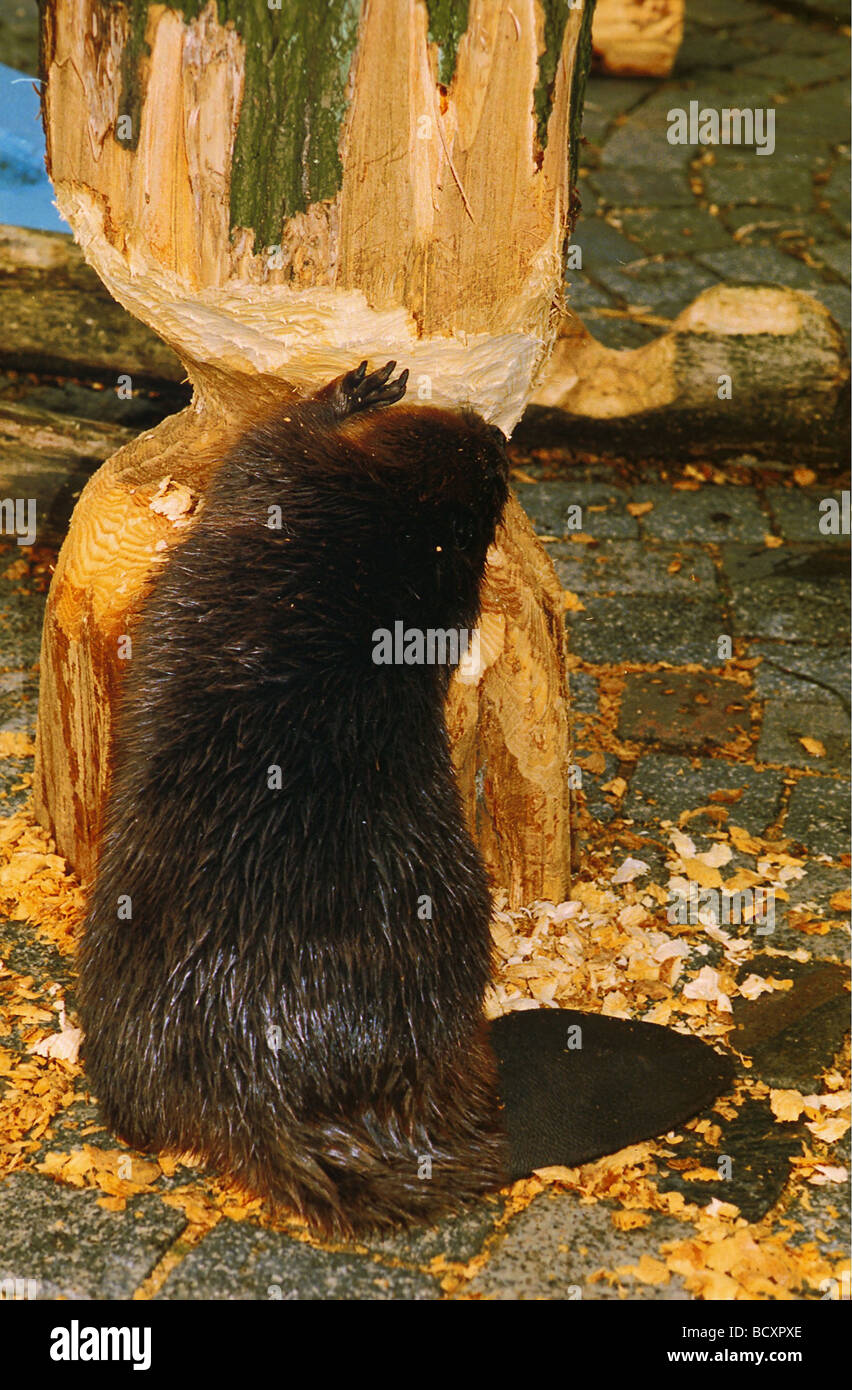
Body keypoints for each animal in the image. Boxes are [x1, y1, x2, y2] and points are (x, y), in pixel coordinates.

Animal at [78, 361, 728, 1239]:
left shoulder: (294, 480)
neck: (400, 538)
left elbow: (265, 446)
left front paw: (358, 387)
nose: (484, 428)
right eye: (493, 462)